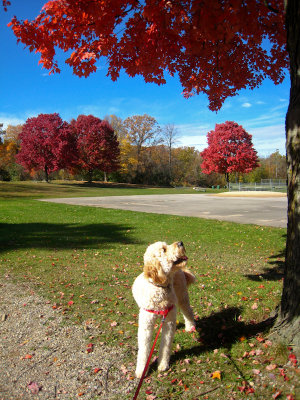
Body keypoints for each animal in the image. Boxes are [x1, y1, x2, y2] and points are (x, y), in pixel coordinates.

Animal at [132, 241, 196, 378]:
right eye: (164, 249)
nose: (180, 242)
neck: (160, 287)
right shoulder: (146, 323)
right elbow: (144, 348)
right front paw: (141, 370)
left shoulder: (169, 320)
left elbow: (166, 345)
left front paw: (163, 365)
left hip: (182, 296)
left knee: (188, 311)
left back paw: (190, 327)